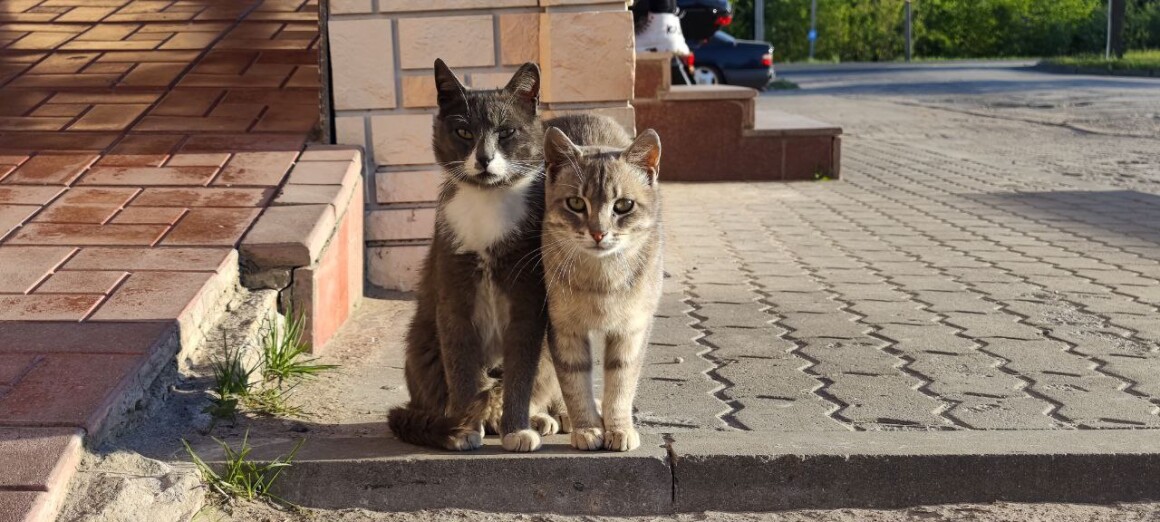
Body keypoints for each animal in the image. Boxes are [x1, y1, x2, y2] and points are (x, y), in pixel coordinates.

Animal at [387, 59, 567, 453]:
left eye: (506, 131)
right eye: (464, 132)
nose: (484, 158)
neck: (487, 203)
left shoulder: (527, 299)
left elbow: (520, 374)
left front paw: (516, 429)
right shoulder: (455, 293)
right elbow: (462, 369)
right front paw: (464, 428)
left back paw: (537, 419)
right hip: (422, 343)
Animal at [540, 114, 664, 452]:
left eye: (623, 205)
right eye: (575, 203)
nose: (598, 233)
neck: (601, 279)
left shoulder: (632, 329)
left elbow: (621, 385)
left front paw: (618, 427)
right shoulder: (562, 329)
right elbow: (573, 383)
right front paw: (587, 427)